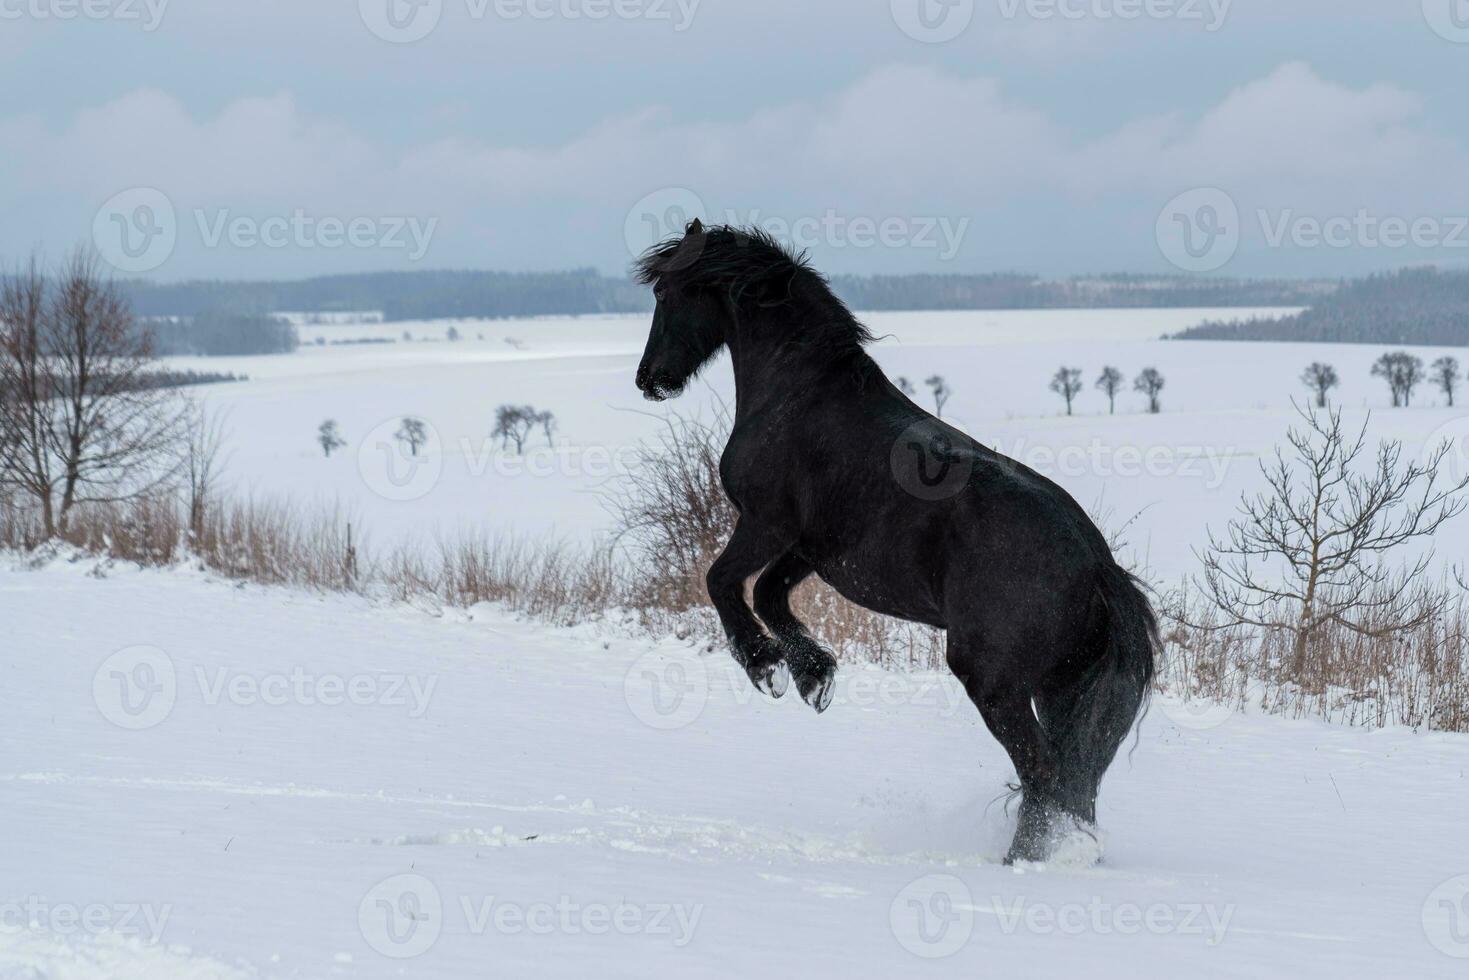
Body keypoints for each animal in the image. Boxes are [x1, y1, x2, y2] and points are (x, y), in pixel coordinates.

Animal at [631, 220, 1157, 858]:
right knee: (1069, 785)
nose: (649, 380)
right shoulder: (812, 550)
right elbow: (770, 596)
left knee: (1043, 776)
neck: (798, 395)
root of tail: (1098, 570)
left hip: (996, 684)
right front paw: (813, 677)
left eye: (664, 294)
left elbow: (722, 582)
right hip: (1061, 691)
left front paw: (766, 669)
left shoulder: (765, 524)